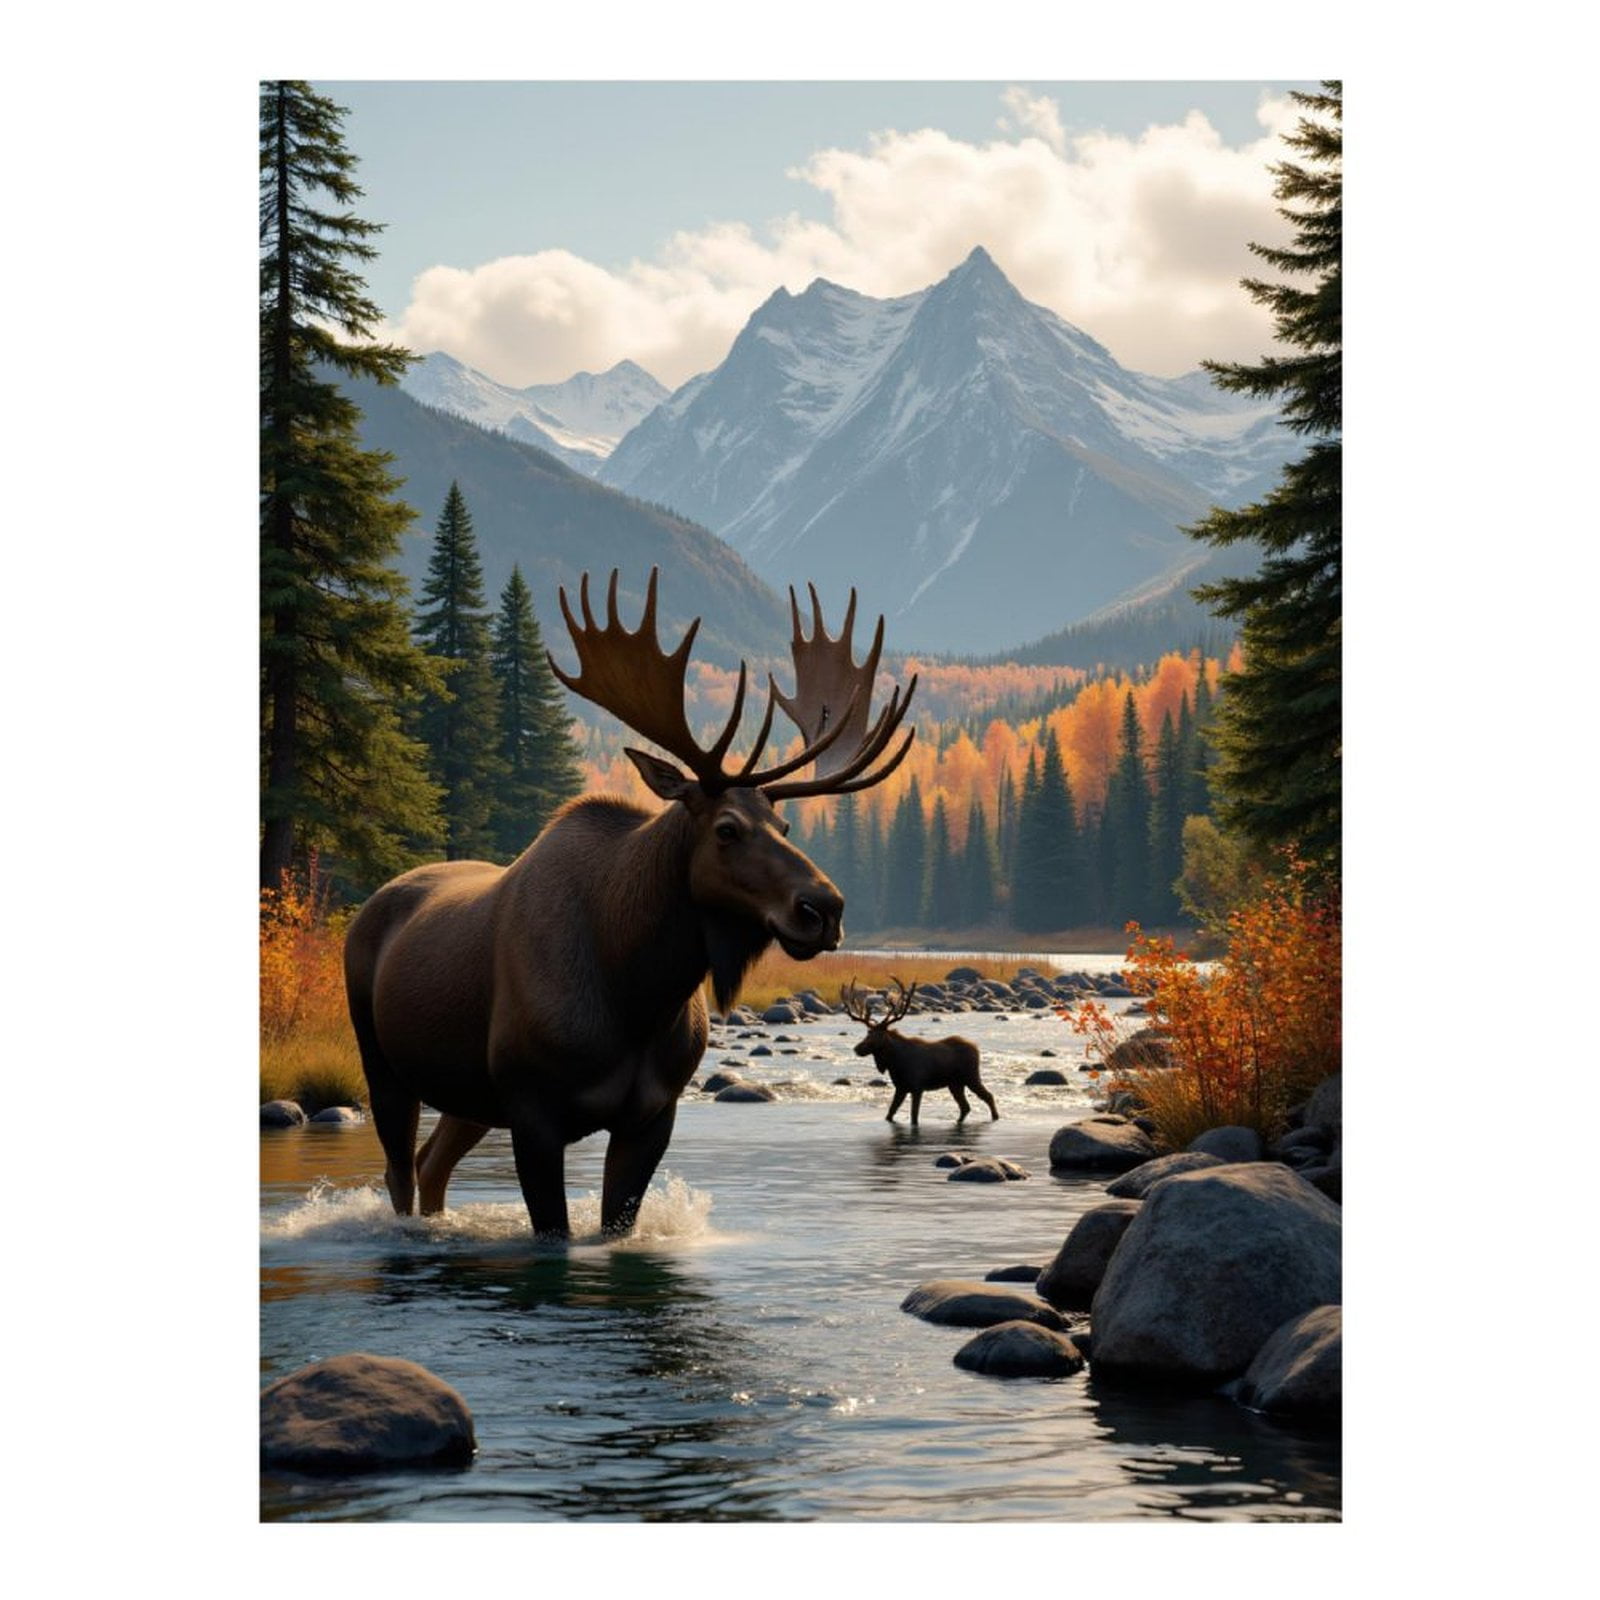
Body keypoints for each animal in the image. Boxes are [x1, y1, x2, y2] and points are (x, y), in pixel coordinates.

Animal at [343, 570, 916, 1241]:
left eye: (784, 824)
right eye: (727, 828)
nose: (825, 907)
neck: (637, 992)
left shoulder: (652, 1114)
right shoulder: (533, 1109)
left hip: (471, 1093)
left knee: (432, 1164)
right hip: (384, 1063)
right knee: (399, 1173)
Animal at [843, 977, 998, 1126]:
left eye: (878, 1036)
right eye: (868, 1033)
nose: (857, 1048)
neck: (895, 1063)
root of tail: (976, 1047)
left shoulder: (917, 1087)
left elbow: (914, 1117)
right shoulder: (901, 1088)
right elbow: (890, 1113)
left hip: (971, 1077)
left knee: (988, 1096)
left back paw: (995, 1117)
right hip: (955, 1084)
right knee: (965, 1107)